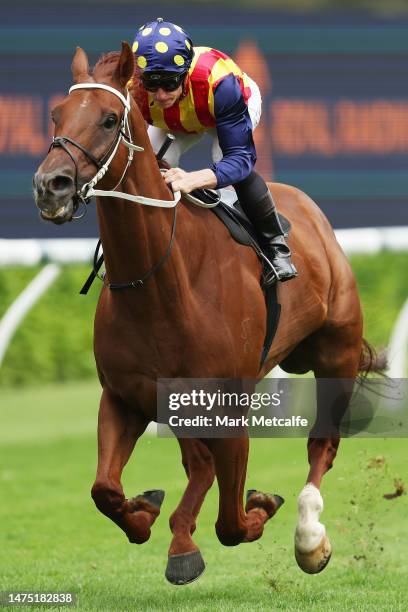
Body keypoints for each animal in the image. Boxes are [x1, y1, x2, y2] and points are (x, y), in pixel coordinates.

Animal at [32, 40, 386, 584]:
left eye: (110, 119)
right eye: (57, 113)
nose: (50, 185)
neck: (160, 285)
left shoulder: (231, 407)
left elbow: (233, 522)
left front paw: (258, 508)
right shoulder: (125, 396)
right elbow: (105, 489)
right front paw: (146, 516)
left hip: (336, 355)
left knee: (320, 446)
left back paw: (310, 537)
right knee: (196, 463)